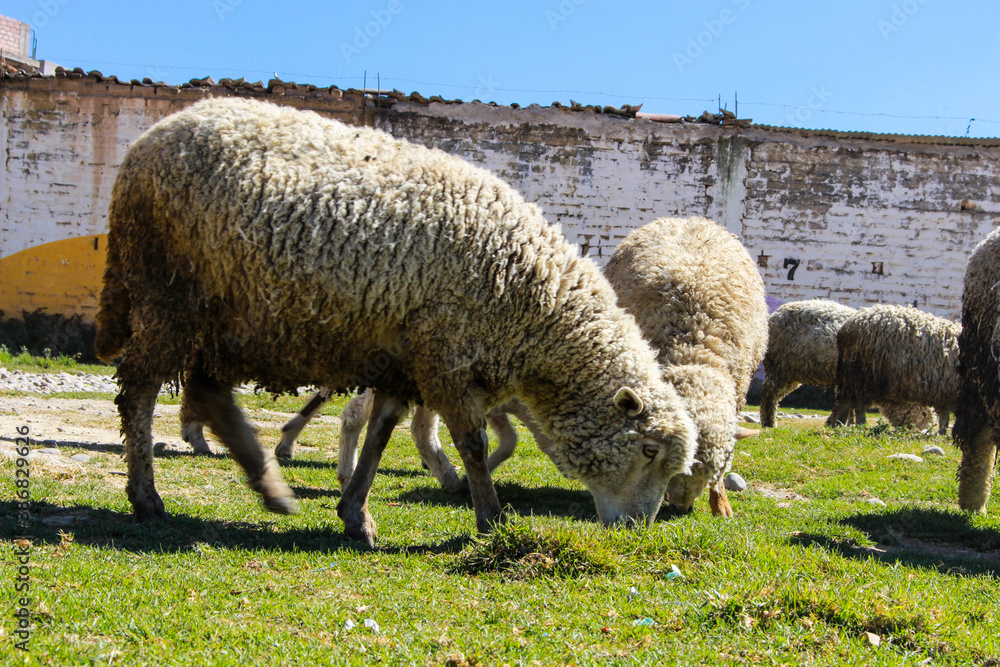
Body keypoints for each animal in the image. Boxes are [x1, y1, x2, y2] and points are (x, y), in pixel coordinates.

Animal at [95, 97, 697, 544]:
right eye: (648, 450)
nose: (638, 528)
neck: (534, 301)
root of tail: (146, 142)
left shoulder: (400, 364)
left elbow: (380, 437)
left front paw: (355, 515)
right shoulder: (444, 358)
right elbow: (472, 444)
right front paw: (491, 520)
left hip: (226, 315)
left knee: (207, 391)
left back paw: (267, 484)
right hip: (169, 293)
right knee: (140, 392)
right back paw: (148, 497)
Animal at [826, 304, 961, 435]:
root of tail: (847, 327)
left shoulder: (944, 393)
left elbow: (944, 419)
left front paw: (942, 434)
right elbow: (945, 418)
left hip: (857, 379)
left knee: (854, 404)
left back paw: (853, 425)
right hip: (856, 376)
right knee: (850, 404)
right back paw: (846, 425)